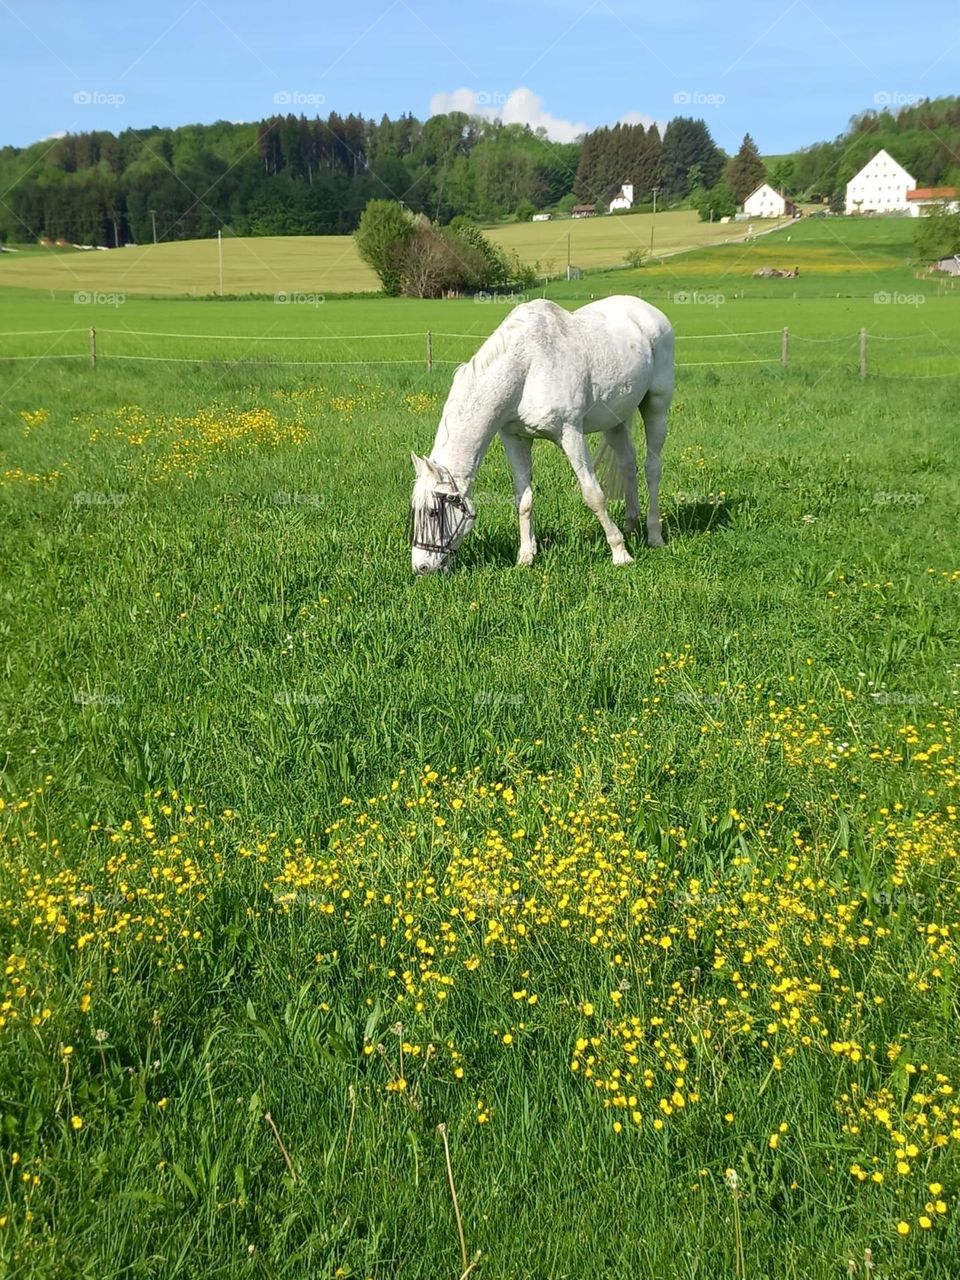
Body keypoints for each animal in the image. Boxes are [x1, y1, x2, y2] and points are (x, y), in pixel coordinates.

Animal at [409, 295, 674, 573]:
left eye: (433, 512)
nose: (421, 568)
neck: (526, 365)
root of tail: (648, 310)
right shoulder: (515, 439)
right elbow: (523, 500)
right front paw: (526, 557)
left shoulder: (570, 433)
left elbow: (593, 495)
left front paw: (620, 553)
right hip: (616, 419)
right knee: (628, 465)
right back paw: (631, 527)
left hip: (656, 406)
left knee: (652, 469)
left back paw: (654, 536)